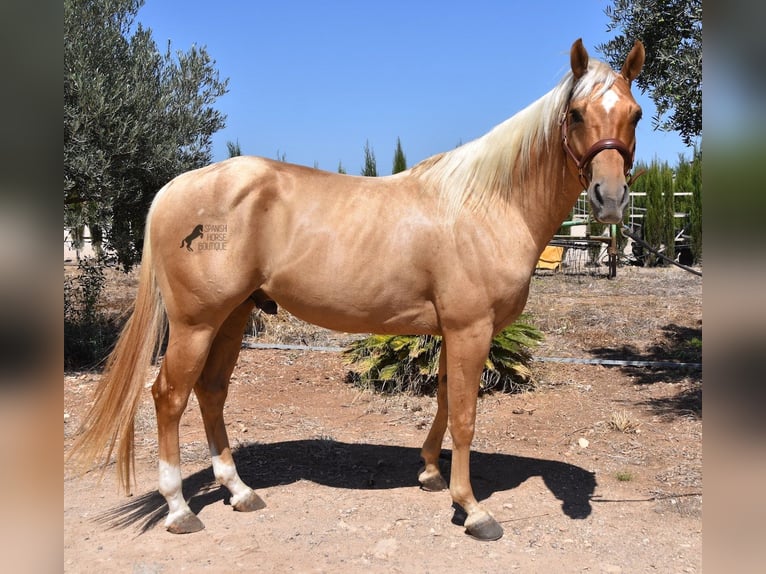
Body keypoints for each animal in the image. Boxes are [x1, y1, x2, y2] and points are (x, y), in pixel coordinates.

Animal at [70, 38, 648, 544]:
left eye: (636, 114)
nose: (611, 198)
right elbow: (464, 415)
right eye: (577, 114)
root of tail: (174, 189)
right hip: (196, 324)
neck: (485, 204)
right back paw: (179, 509)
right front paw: (472, 508)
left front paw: (430, 474)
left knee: (211, 393)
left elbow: (443, 400)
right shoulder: (470, 328)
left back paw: (239, 491)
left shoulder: (450, 331)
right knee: (169, 397)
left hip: (232, 318)